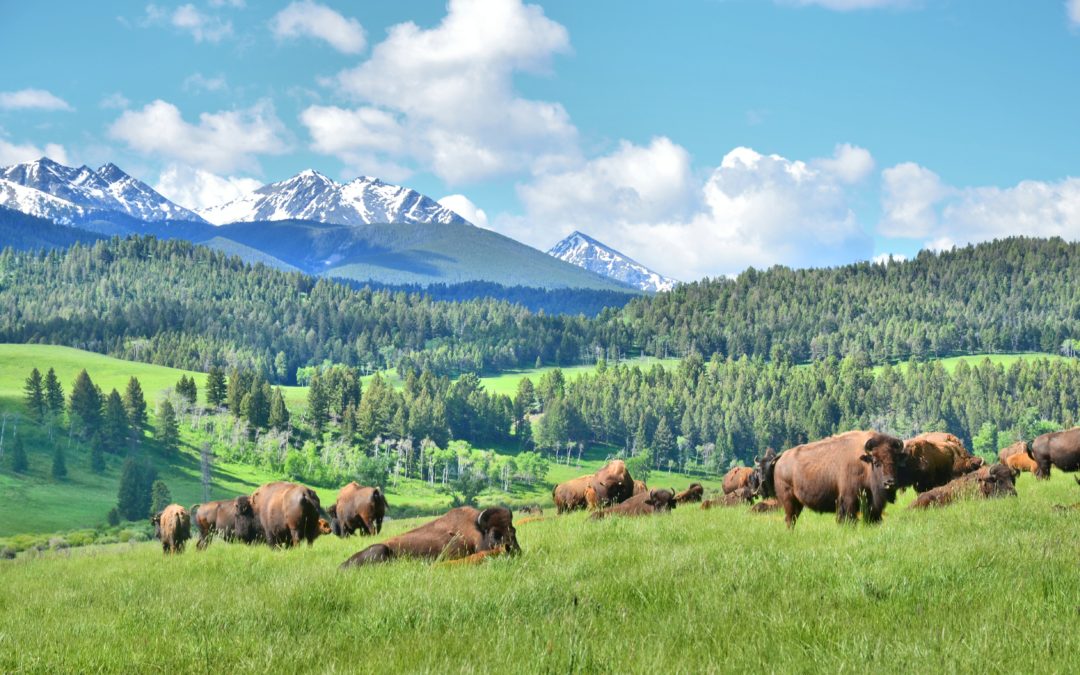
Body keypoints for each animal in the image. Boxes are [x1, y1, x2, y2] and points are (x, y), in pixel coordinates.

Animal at [339, 505, 520, 570]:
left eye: (514, 530)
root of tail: (341, 566)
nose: (514, 551)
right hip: (380, 549)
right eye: (495, 534)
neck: (475, 531)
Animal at [773, 429, 907, 529]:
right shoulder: (849, 500)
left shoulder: (872, 505)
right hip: (789, 500)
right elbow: (849, 518)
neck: (864, 463)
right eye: (876, 462)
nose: (890, 482)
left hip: (798, 503)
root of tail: (781, 458)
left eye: (895, 461)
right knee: (790, 519)